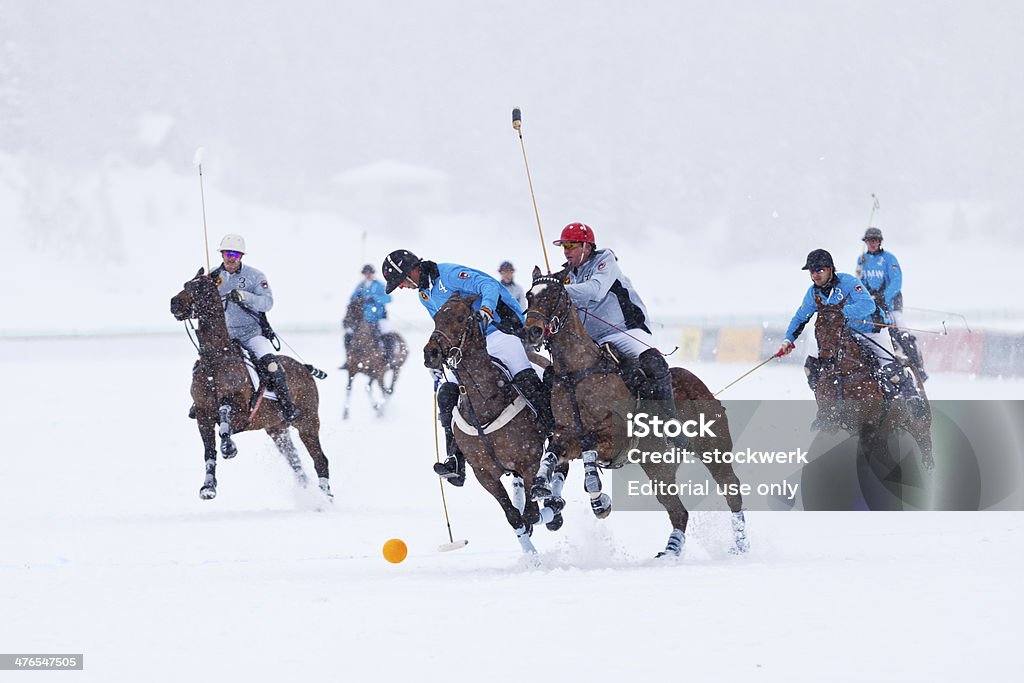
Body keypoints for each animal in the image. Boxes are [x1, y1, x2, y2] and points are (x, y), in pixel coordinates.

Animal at [169, 268, 331, 501]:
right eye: (186, 284)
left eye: (201, 287)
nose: (174, 303)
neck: (215, 357)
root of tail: (305, 368)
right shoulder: (202, 413)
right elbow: (209, 452)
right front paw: (208, 487)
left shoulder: (241, 409)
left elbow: (225, 412)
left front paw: (228, 447)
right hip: (276, 429)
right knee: (296, 463)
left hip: (308, 422)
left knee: (320, 459)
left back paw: (326, 498)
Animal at [425, 294, 561, 557]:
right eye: (436, 317)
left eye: (460, 317)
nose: (430, 354)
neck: (485, 401)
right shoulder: (484, 473)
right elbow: (513, 516)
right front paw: (530, 552)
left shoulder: (529, 462)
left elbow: (531, 512)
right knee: (446, 391)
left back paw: (554, 509)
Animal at [524, 266, 749, 557]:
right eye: (529, 296)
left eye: (555, 295)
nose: (531, 331)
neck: (576, 372)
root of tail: (701, 385)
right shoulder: (565, 435)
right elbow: (552, 454)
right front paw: (541, 485)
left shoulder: (615, 437)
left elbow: (589, 450)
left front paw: (599, 498)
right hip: (658, 465)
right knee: (679, 511)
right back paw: (671, 552)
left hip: (714, 449)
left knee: (731, 489)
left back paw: (741, 543)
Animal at [811, 296, 933, 473]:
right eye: (817, 326)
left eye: (840, 326)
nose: (827, 360)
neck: (844, 374)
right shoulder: (829, 417)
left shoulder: (866, 423)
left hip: (920, 427)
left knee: (927, 457)